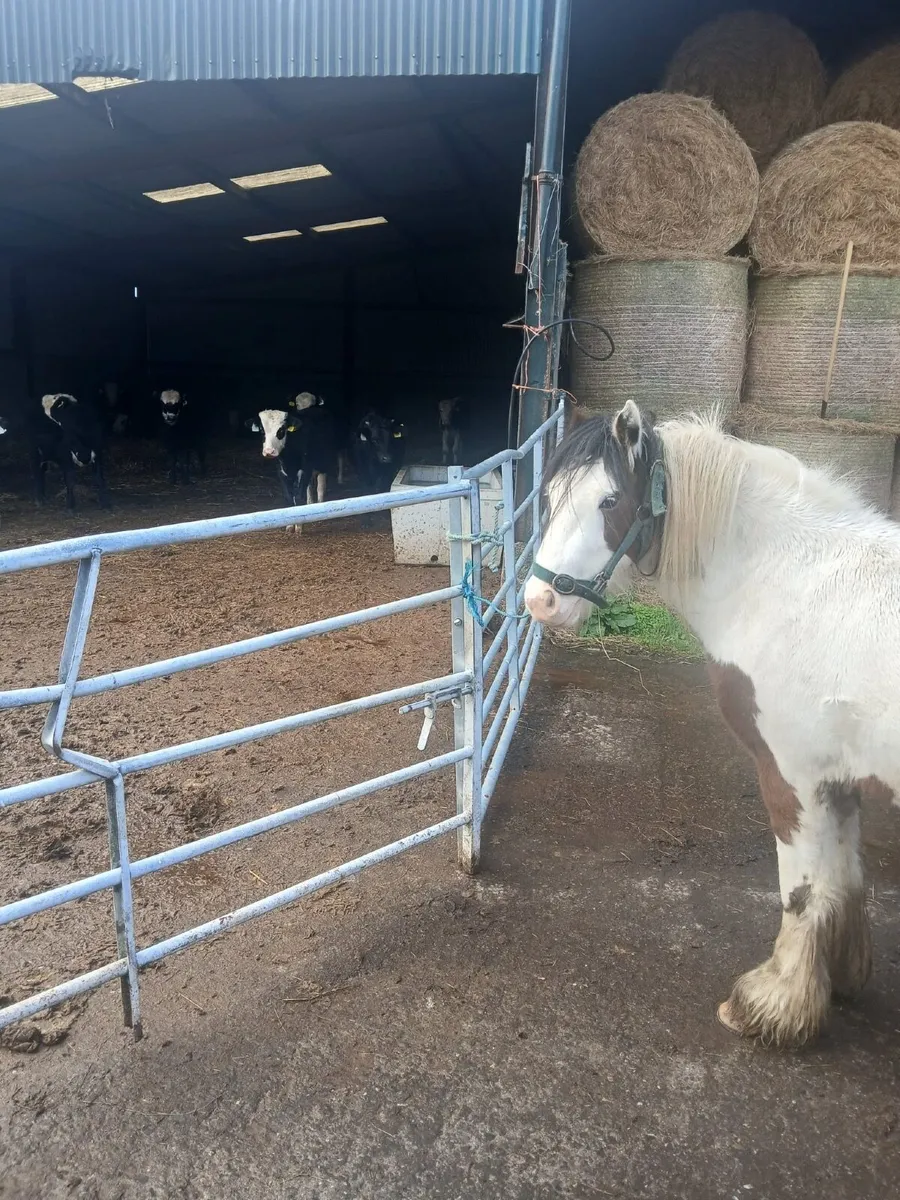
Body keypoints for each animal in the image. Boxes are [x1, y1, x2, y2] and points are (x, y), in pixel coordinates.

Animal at [524, 399, 900, 1048]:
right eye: (547, 497)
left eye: (608, 501)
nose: (538, 602)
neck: (788, 582)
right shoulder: (839, 778)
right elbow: (845, 878)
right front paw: (840, 975)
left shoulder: (792, 774)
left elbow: (805, 889)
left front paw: (773, 1005)